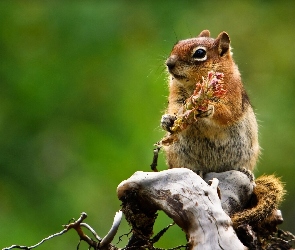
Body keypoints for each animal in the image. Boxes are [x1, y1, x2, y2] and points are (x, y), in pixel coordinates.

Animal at [161, 29, 286, 246]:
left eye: (199, 53)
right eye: (176, 45)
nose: (169, 63)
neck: (195, 85)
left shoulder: (232, 94)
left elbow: (225, 112)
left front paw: (209, 108)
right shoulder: (176, 95)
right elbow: (176, 108)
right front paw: (168, 120)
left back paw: (245, 171)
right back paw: (197, 170)